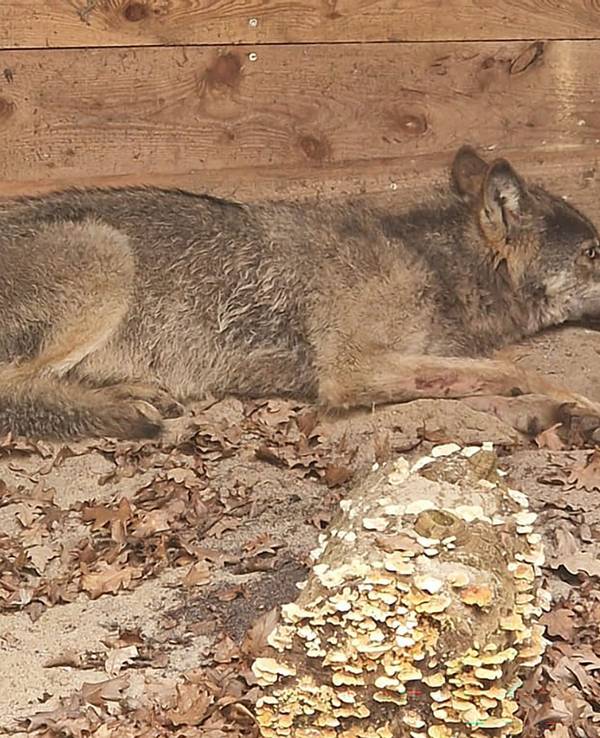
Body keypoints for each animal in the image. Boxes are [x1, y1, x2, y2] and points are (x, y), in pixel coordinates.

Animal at [0, 145, 598, 440]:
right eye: (594, 252)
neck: (433, 264)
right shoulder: (350, 370)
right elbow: (512, 370)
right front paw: (572, 400)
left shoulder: (405, 364)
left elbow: (473, 384)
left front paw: (547, 413)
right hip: (107, 253)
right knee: (16, 395)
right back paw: (123, 410)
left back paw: (135, 393)